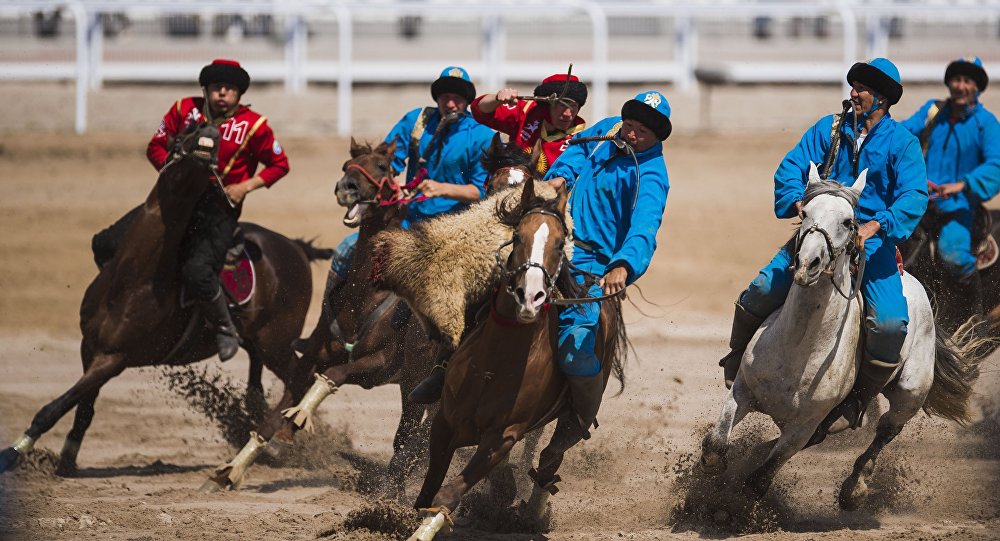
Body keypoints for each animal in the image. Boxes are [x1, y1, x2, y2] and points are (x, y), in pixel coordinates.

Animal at [0, 123, 330, 476]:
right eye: (187, 130)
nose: (210, 132)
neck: (133, 278)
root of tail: (295, 246)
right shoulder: (90, 347)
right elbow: (83, 407)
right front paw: (67, 459)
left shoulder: (114, 358)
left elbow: (55, 407)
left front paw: (13, 453)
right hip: (259, 342)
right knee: (256, 380)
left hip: (277, 342)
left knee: (300, 376)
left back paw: (278, 440)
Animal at [200, 139, 438, 494]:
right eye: (346, 166)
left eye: (384, 166)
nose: (347, 187)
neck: (364, 299)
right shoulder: (309, 358)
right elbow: (273, 415)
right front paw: (229, 471)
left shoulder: (378, 365)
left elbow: (334, 376)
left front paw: (297, 419)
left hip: (418, 380)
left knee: (417, 432)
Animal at [404, 176, 624, 536]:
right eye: (517, 236)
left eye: (560, 244)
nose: (530, 297)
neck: (493, 365)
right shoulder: (445, 421)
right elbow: (427, 491)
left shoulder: (502, 437)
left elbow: (448, 494)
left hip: (572, 417)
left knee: (550, 460)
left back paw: (533, 513)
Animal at [700, 162, 980, 508]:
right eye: (805, 212)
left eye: (848, 222)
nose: (808, 263)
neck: (797, 348)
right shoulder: (742, 390)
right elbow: (715, 447)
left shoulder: (801, 429)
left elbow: (759, 480)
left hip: (910, 393)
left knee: (886, 431)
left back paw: (854, 488)